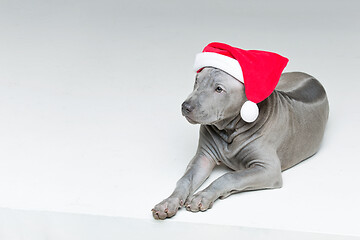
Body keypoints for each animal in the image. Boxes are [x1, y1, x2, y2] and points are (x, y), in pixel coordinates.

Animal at [152, 67, 330, 219]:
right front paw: (168, 202)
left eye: (219, 89)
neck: (230, 129)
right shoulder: (203, 158)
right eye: (197, 81)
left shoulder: (268, 169)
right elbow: (185, 179)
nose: (186, 106)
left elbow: (230, 176)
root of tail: (308, 75)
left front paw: (204, 195)